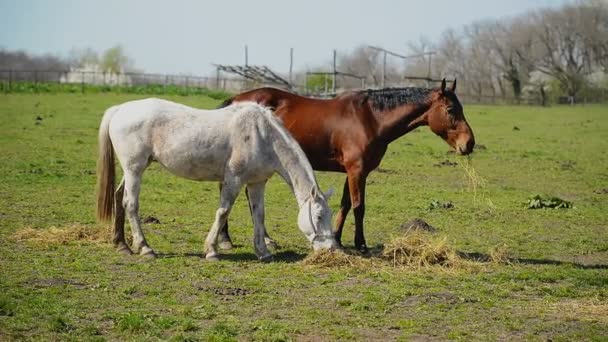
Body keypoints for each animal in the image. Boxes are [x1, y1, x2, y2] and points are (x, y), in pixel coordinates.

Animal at [95, 97, 338, 260]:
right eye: (318, 216)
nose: (329, 249)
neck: (262, 135)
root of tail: (120, 109)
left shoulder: (256, 183)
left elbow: (259, 215)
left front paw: (263, 251)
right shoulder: (234, 180)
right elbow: (223, 212)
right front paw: (212, 250)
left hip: (132, 170)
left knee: (118, 197)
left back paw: (122, 245)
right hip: (134, 169)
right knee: (130, 204)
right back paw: (145, 248)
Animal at [218, 79, 476, 252]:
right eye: (451, 109)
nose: (469, 143)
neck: (370, 118)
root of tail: (236, 100)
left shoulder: (352, 172)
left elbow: (345, 205)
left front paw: (338, 238)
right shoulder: (357, 171)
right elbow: (359, 206)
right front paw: (360, 244)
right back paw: (226, 239)